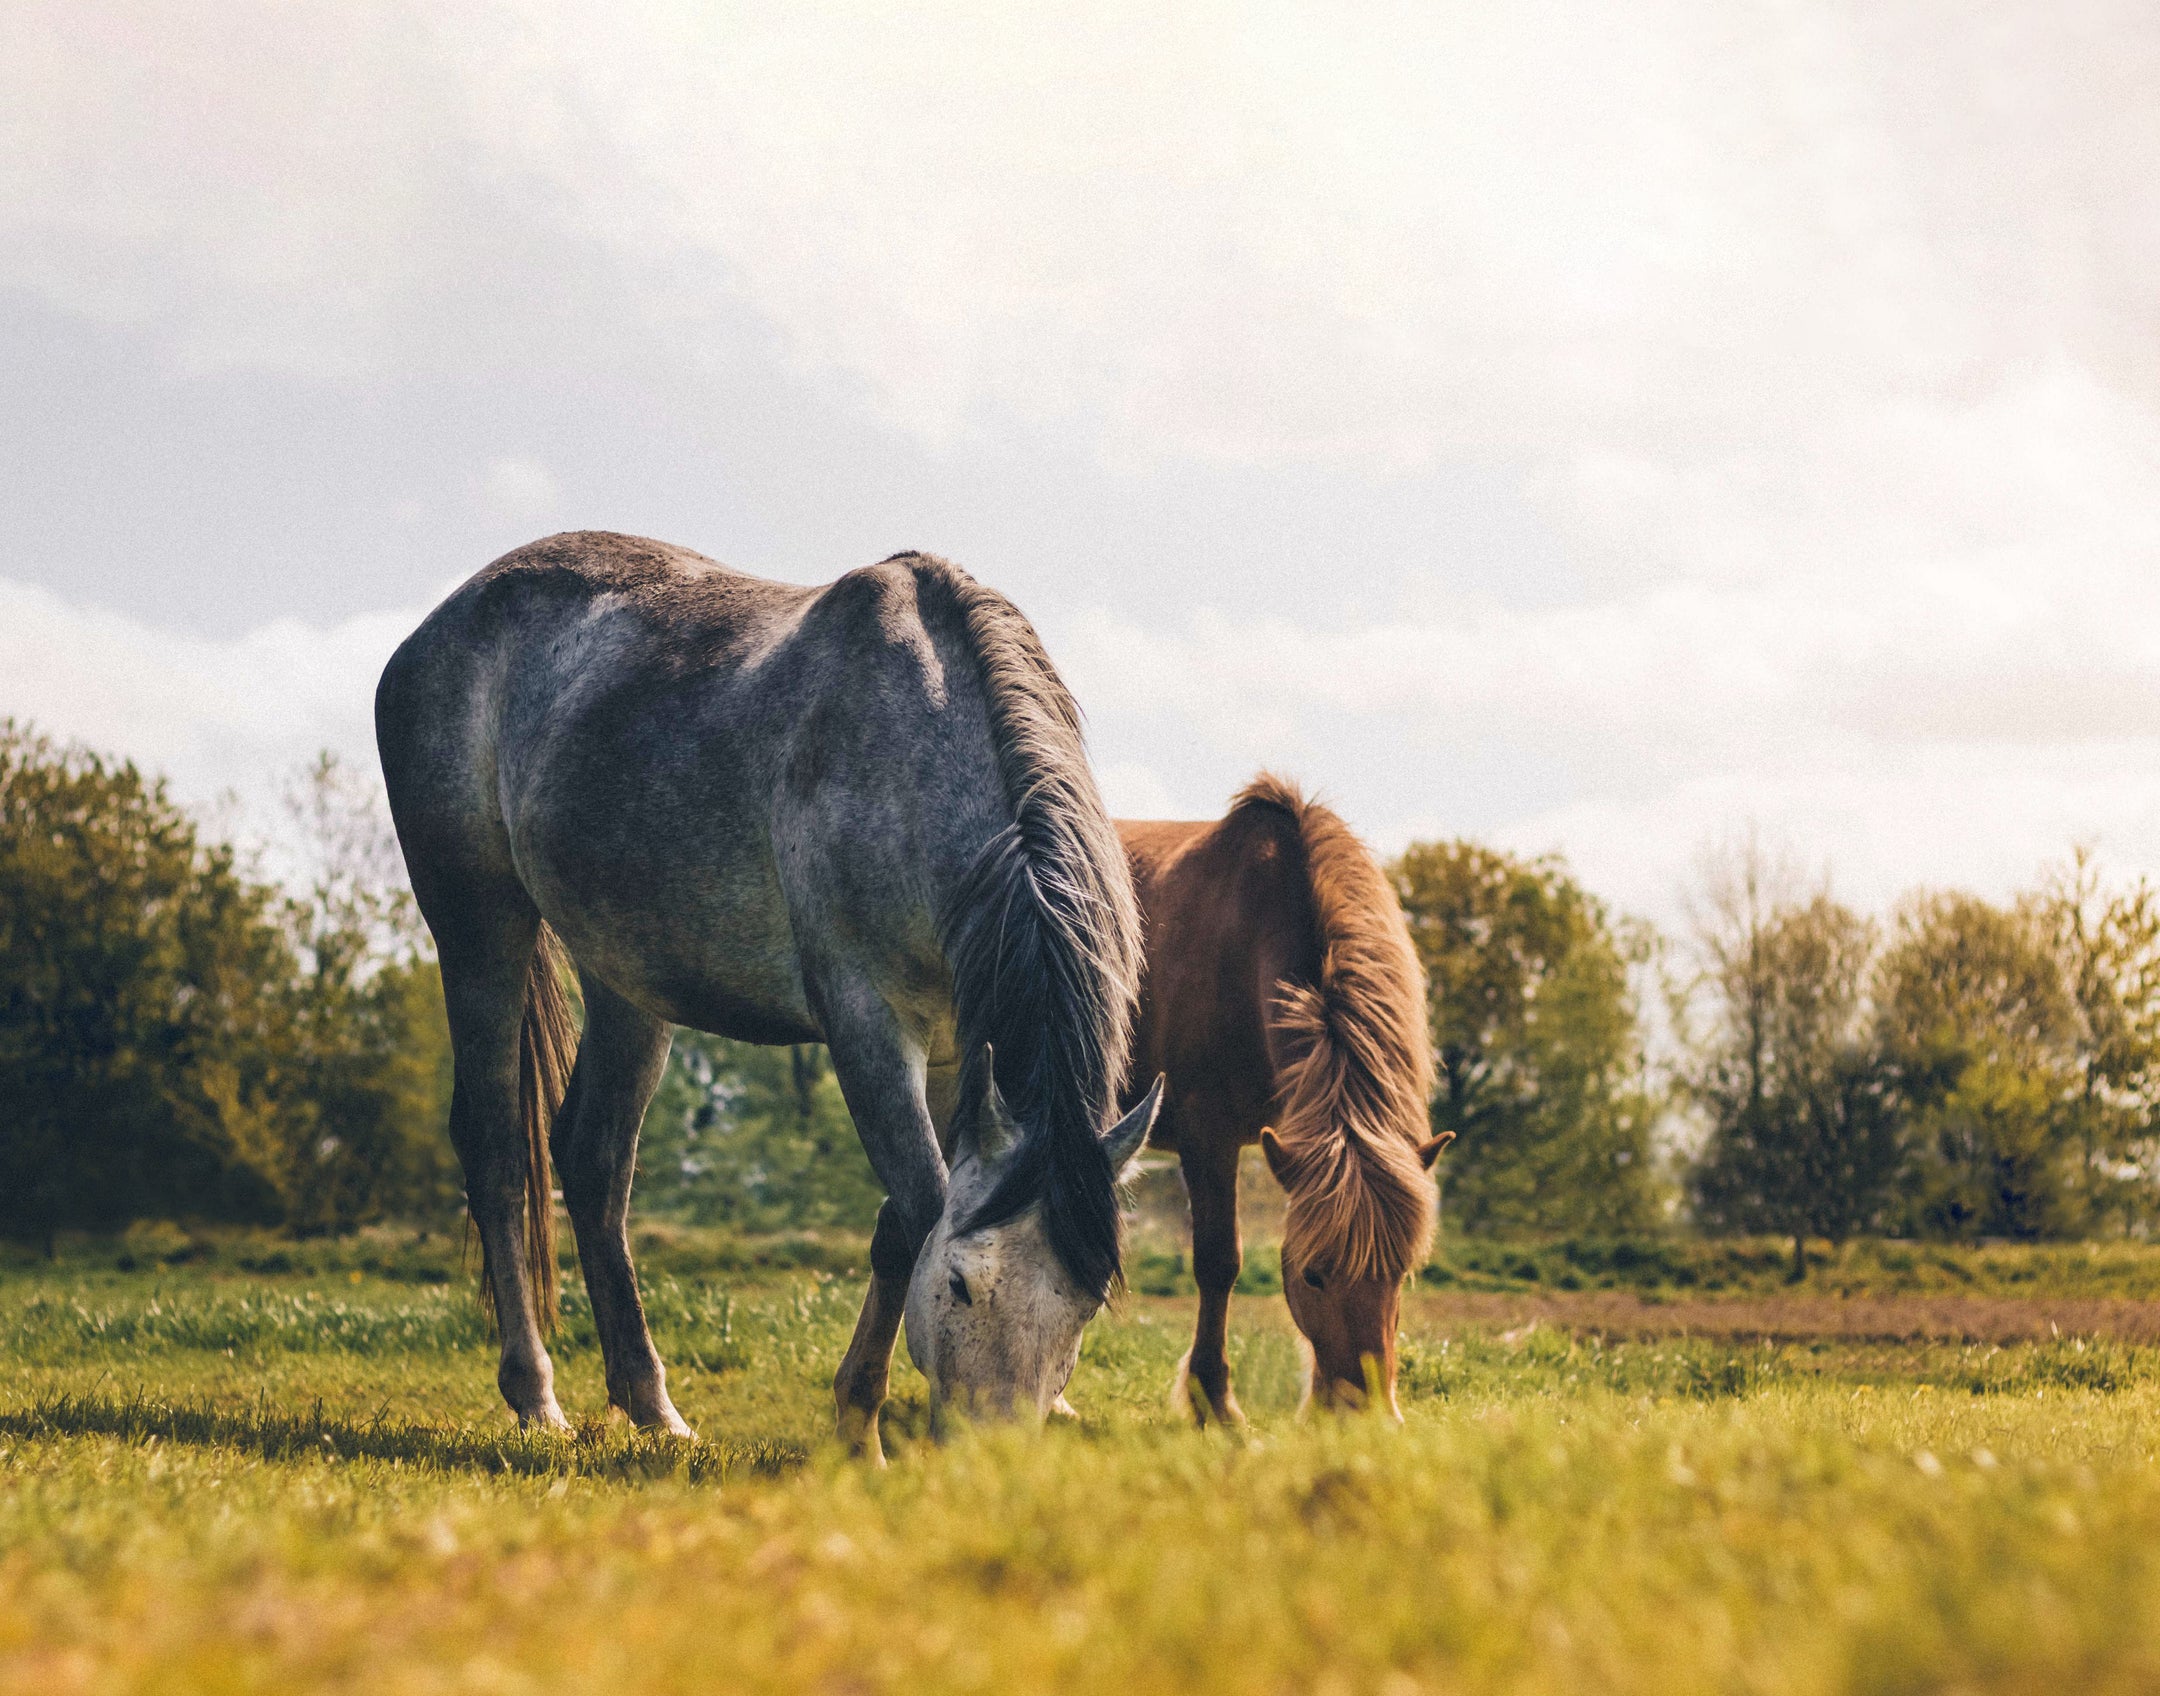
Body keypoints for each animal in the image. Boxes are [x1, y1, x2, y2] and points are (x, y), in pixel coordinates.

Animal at [371, 533, 1166, 1451]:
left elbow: (901, 1223)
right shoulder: (866, 1023)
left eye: (1085, 1306)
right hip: (479, 928)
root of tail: (438, 626)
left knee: (594, 1161)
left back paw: (652, 1407)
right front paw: (860, 1428)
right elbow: (919, 1208)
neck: (917, 748)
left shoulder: (955, 1051)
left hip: (625, 978)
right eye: (963, 1285)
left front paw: (855, 1413)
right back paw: (536, 1396)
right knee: (500, 1149)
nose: (990, 1457)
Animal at [1114, 777, 1451, 1417]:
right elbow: (1219, 1262)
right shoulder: (1207, 1136)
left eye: (1400, 1274)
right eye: (1313, 1275)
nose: (1364, 1414)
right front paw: (1215, 1403)